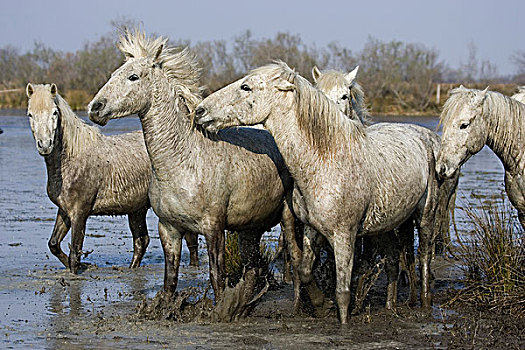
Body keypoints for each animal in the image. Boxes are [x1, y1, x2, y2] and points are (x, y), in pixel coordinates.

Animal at [192, 61, 438, 324]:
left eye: (245, 87)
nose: (200, 111)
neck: (326, 159)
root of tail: (421, 137)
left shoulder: (344, 237)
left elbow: (343, 291)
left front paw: (343, 322)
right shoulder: (312, 229)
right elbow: (305, 270)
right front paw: (321, 305)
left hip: (425, 217)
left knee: (423, 257)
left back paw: (425, 304)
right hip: (386, 224)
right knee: (392, 259)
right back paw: (391, 306)